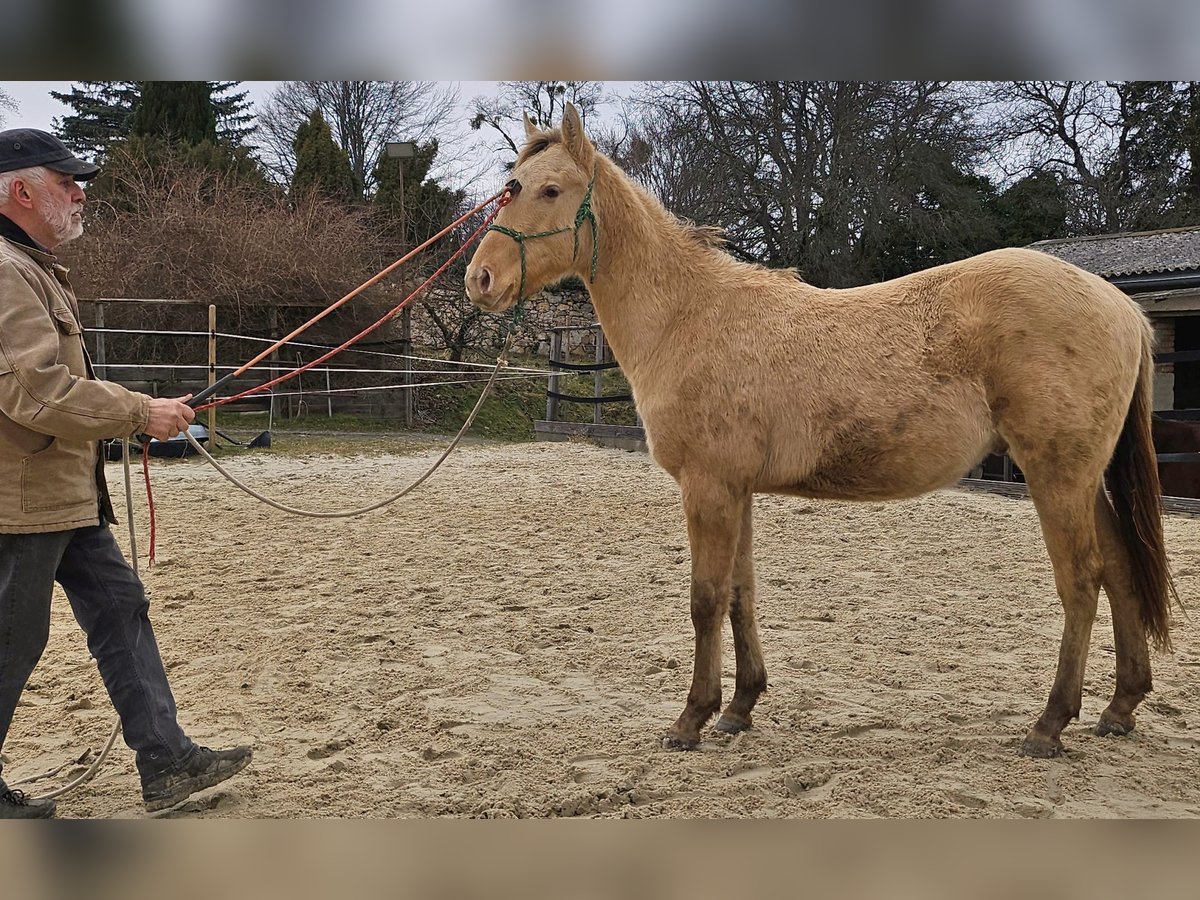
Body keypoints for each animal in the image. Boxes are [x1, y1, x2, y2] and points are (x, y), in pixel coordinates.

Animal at [463, 103, 1176, 763]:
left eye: (550, 189)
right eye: (512, 184)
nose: (480, 279)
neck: (690, 315)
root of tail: (1120, 306)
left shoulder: (708, 486)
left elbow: (705, 599)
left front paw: (691, 719)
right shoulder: (736, 490)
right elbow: (741, 594)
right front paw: (739, 708)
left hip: (1057, 475)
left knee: (1082, 581)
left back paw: (1049, 725)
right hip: (1083, 478)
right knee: (1118, 568)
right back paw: (1119, 707)